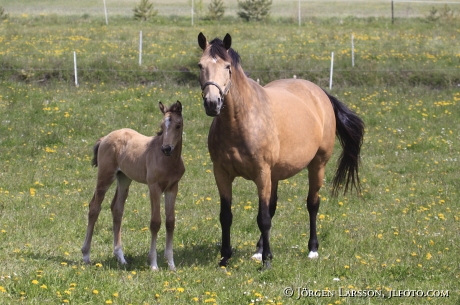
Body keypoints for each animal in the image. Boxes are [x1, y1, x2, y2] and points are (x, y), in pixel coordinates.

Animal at [82, 101, 184, 270]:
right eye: (161, 126)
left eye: (178, 125)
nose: (166, 148)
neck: (168, 161)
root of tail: (104, 138)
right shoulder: (154, 187)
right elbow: (155, 222)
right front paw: (153, 264)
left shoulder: (172, 187)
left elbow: (170, 222)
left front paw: (171, 265)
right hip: (105, 176)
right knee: (94, 207)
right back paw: (86, 255)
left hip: (124, 178)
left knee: (117, 209)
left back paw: (121, 257)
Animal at [197, 32, 362, 268]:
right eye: (200, 65)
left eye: (227, 66)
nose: (212, 103)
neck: (241, 120)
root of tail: (319, 92)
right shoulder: (222, 173)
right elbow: (226, 215)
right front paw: (225, 258)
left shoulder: (262, 173)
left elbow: (263, 218)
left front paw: (267, 261)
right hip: (274, 176)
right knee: (273, 207)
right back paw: (258, 250)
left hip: (317, 165)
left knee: (312, 204)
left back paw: (312, 249)